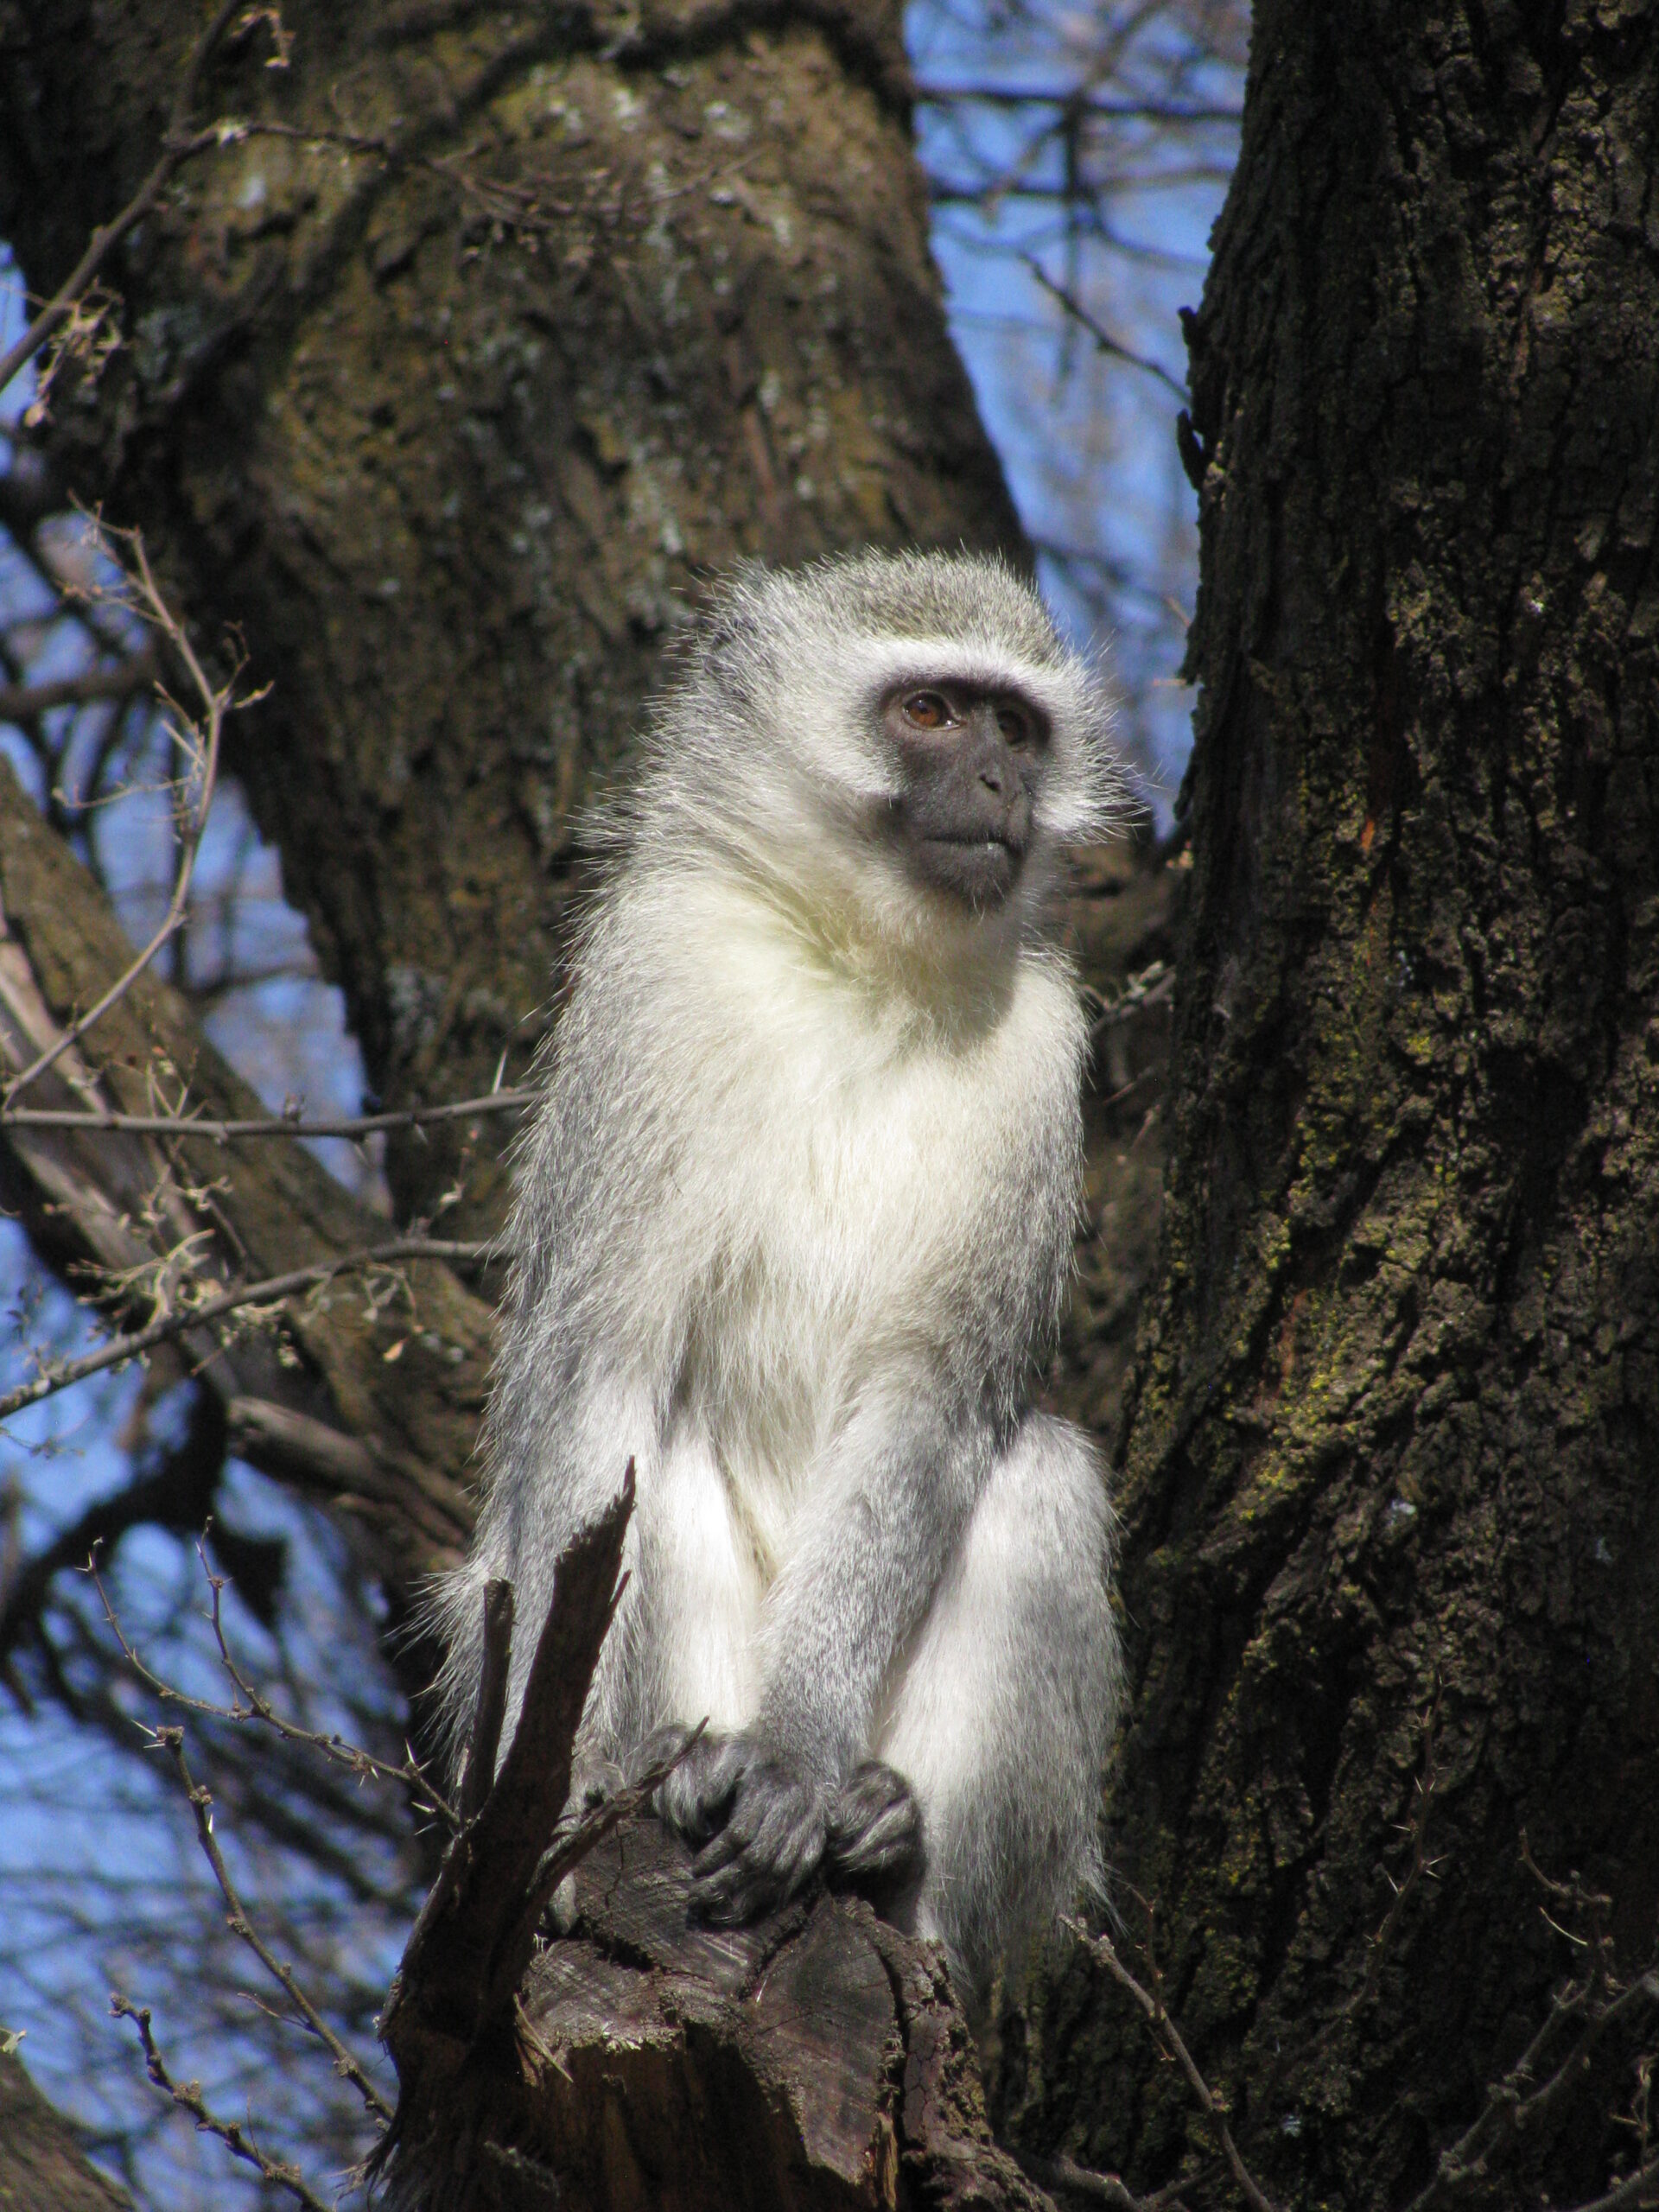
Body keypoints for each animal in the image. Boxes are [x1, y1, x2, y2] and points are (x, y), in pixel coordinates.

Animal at [430, 549, 1124, 2008]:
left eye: (1015, 726)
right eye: (928, 712)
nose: (999, 784)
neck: (862, 965)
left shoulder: (1045, 1054)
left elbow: (929, 1403)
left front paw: (801, 1764)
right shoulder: (658, 981)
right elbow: (600, 1370)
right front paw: (571, 1792)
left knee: (1038, 1471)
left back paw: (894, 1849)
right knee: (656, 1449)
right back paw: (673, 1776)